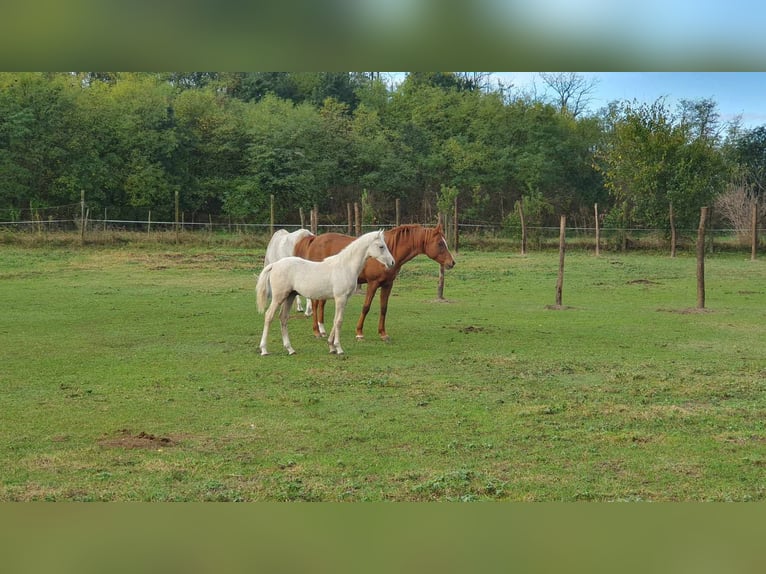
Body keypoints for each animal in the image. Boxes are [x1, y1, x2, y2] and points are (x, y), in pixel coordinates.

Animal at [258, 232, 396, 358]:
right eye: (381, 246)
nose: (392, 262)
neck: (345, 267)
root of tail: (274, 265)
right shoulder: (340, 298)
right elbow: (339, 321)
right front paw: (339, 348)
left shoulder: (344, 299)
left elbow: (336, 320)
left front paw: (331, 346)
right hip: (279, 297)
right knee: (269, 316)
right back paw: (264, 349)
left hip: (290, 296)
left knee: (283, 318)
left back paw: (290, 349)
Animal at [294, 224, 456, 342]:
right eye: (440, 243)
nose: (452, 263)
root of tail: (314, 239)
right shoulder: (372, 284)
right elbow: (366, 307)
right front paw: (359, 332)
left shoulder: (387, 285)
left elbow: (384, 308)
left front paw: (383, 333)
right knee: (315, 304)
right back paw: (316, 331)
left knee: (320, 304)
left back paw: (322, 330)